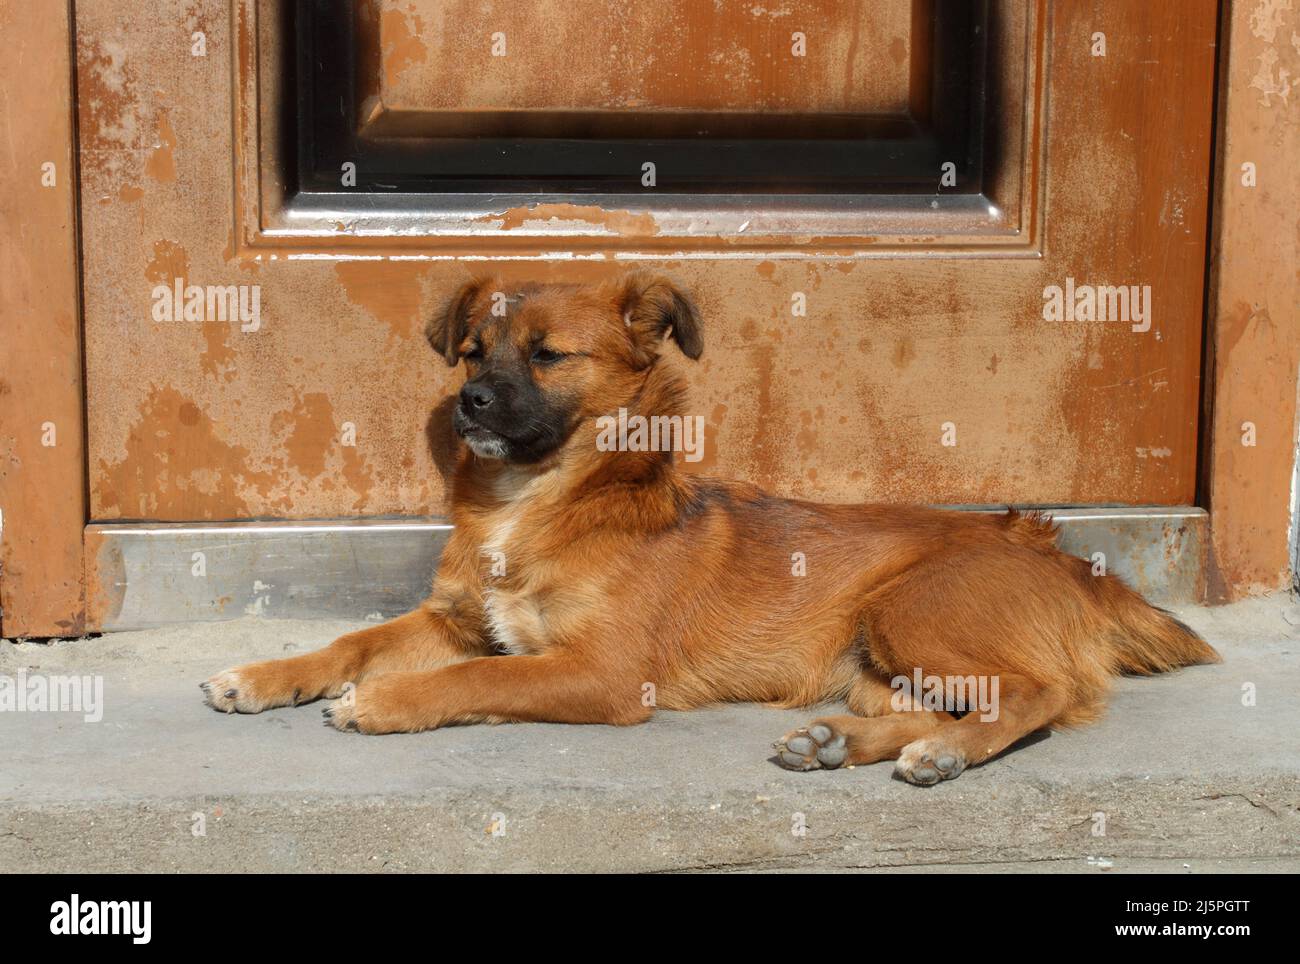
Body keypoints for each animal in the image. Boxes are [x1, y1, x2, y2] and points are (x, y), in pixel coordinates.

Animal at [200, 274, 1216, 784]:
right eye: (472, 352)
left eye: (548, 356)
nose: (468, 404)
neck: (542, 503)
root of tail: (1060, 554)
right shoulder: (455, 619)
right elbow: (352, 641)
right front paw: (263, 675)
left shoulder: (602, 674)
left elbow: (472, 679)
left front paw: (383, 701)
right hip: (876, 662)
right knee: (961, 699)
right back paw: (839, 743)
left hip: (912, 612)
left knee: (1038, 695)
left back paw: (941, 756)